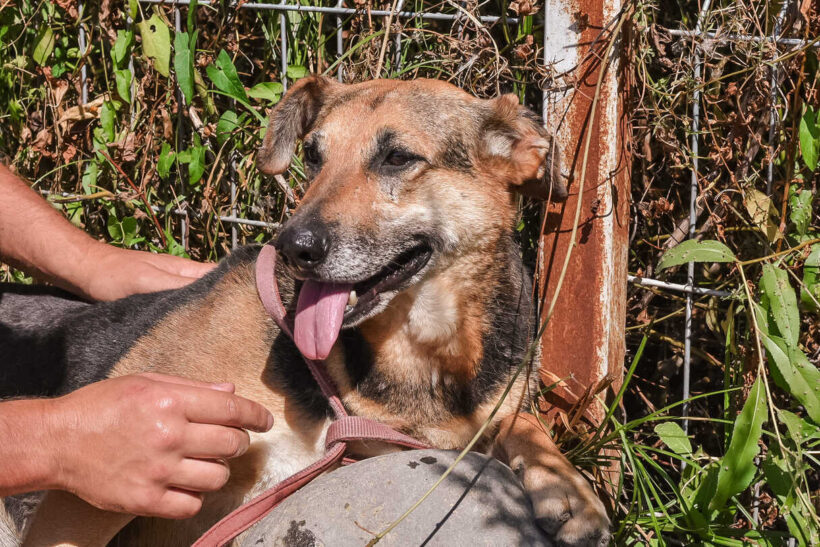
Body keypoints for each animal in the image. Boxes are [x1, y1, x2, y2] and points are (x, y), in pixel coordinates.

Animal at [0, 78, 612, 547]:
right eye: (314, 156)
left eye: (397, 157)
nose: (293, 247)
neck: (426, 347)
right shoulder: (91, 496)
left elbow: (523, 421)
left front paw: (566, 489)